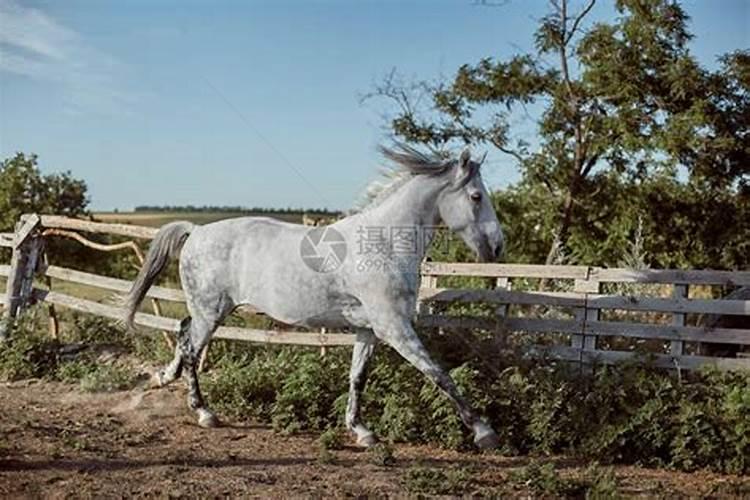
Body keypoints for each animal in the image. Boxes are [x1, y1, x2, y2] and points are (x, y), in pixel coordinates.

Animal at [126, 145, 508, 450]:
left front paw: (361, 431)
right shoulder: (394, 328)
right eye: (476, 196)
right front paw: (485, 433)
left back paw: (163, 377)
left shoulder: (369, 331)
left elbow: (357, 377)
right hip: (211, 311)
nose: (497, 247)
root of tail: (197, 231)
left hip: (209, 311)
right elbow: (439, 374)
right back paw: (204, 412)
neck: (383, 246)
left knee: (182, 332)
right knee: (192, 349)